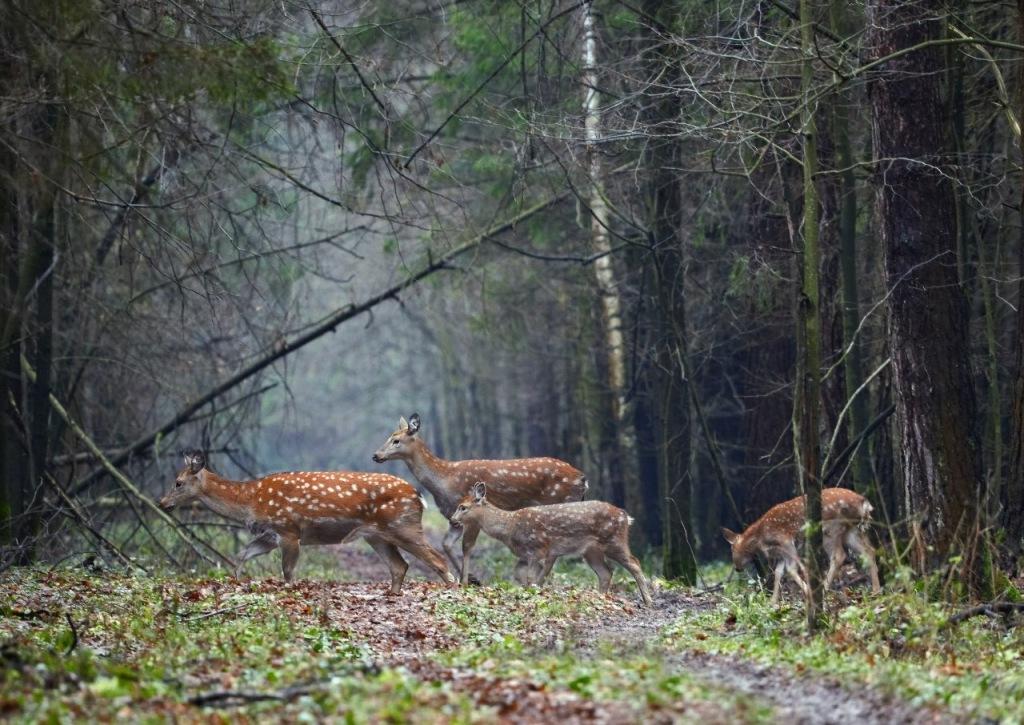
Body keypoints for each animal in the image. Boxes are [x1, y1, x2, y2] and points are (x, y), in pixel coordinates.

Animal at [157, 446, 454, 593]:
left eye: (178, 482)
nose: (162, 503)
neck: (251, 500)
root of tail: (418, 496)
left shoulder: (289, 530)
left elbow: (288, 571)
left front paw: (289, 593)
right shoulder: (269, 535)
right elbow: (241, 555)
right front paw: (237, 581)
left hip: (403, 525)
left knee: (437, 559)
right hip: (375, 535)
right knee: (399, 566)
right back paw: (392, 594)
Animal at [372, 413, 589, 581]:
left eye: (396, 440)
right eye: (389, 437)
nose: (376, 455)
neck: (445, 480)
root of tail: (582, 479)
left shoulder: (472, 514)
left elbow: (467, 547)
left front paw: (468, 581)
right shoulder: (453, 517)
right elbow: (446, 544)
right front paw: (470, 578)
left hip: (558, 503)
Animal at [450, 483, 655, 610]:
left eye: (463, 507)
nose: (452, 520)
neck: (509, 527)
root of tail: (625, 516)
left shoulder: (538, 548)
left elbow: (531, 577)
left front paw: (532, 594)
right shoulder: (529, 555)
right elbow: (523, 576)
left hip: (613, 540)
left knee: (634, 563)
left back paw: (648, 601)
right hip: (591, 551)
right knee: (606, 572)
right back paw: (598, 599)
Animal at [720, 487, 880, 606]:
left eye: (732, 550)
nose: (737, 568)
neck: (760, 536)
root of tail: (864, 503)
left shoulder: (785, 540)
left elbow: (790, 568)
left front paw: (807, 591)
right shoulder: (780, 552)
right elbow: (778, 572)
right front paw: (773, 602)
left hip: (831, 528)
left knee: (839, 556)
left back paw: (823, 590)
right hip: (851, 530)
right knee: (869, 551)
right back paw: (876, 590)